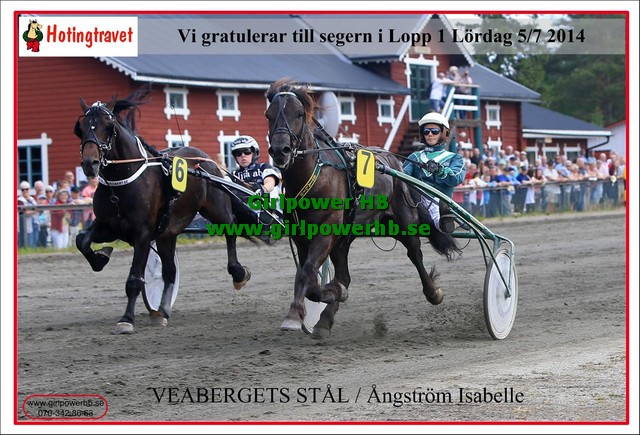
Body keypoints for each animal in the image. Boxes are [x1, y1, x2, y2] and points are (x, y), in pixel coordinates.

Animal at [74, 87, 252, 334]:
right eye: (80, 128)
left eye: (108, 126)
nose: (90, 164)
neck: (121, 185)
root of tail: (205, 158)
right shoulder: (107, 227)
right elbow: (82, 240)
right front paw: (101, 257)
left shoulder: (142, 234)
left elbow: (134, 279)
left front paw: (126, 319)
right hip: (168, 233)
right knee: (170, 271)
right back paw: (162, 310)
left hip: (217, 210)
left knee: (231, 229)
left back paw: (238, 273)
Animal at [266, 78, 461, 339]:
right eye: (268, 115)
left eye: (298, 113)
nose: (280, 151)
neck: (313, 177)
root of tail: (395, 162)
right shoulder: (302, 236)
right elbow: (309, 278)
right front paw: (329, 295)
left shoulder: (326, 232)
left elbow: (307, 273)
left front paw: (294, 315)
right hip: (345, 237)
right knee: (344, 276)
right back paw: (325, 319)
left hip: (403, 222)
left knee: (415, 254)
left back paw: (433, 293)